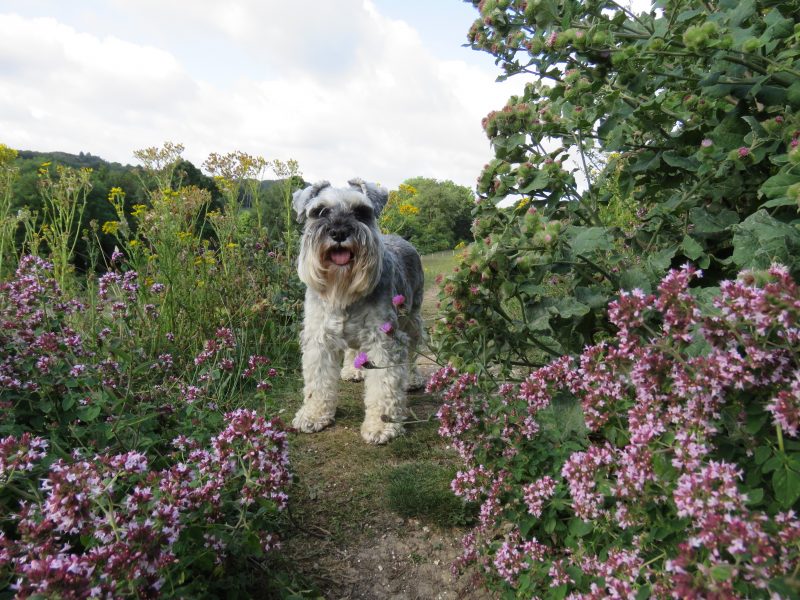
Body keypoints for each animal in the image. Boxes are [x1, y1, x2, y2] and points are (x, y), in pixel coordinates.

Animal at [290, 176, 424, 442]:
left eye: (361, 211)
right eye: (320, 211)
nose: (339, 232)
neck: (343, 290)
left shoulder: (384, 339)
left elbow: (384, 385)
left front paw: (382, 426)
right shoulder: (319, 338)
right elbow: (317, 382)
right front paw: (313, 415)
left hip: (412, 319)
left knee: (413, 353)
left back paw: (413, 379)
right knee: (354, 349)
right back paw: (353, 369)